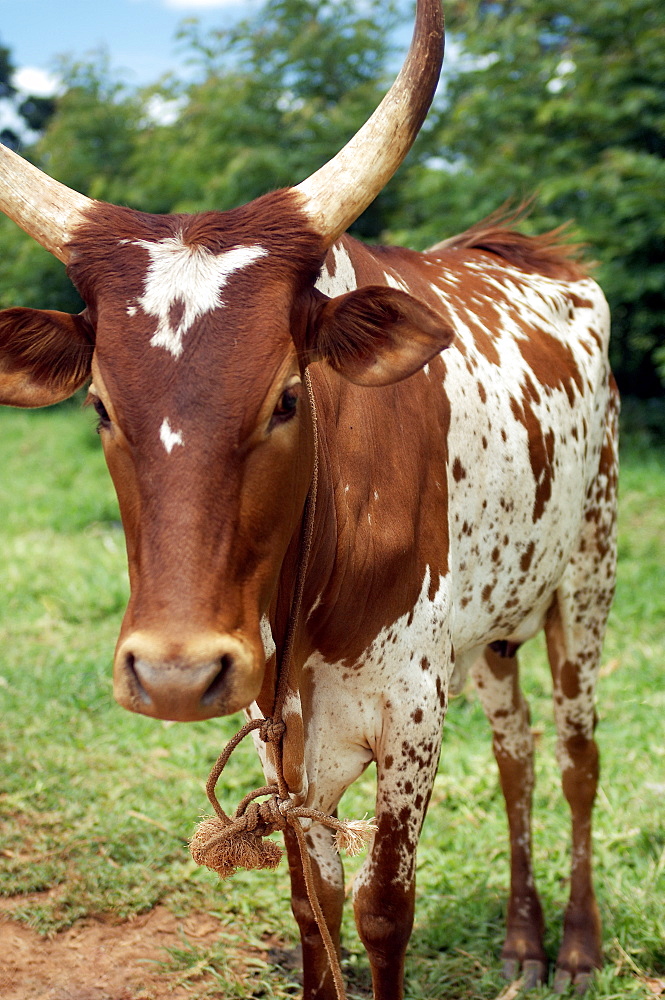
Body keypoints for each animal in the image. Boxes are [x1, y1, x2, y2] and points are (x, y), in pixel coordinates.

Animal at [0, 1, 616, 1000]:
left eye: (287, 397)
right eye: (99, 405)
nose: (174, 675)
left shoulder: (408, 710)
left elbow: (383, 908)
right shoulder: (276, 723)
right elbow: (312, 903)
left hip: (585, 581)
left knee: (573, 756)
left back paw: (572, 946)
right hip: (490, 625)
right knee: (516, 752)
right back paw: (522, 939)